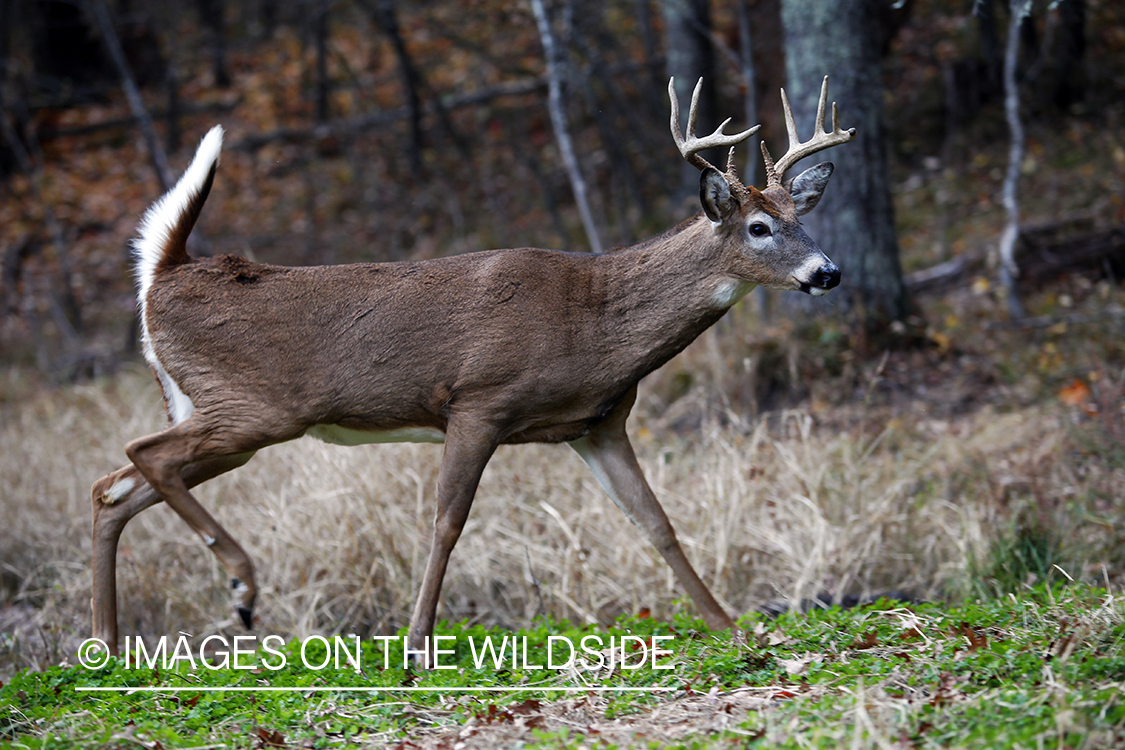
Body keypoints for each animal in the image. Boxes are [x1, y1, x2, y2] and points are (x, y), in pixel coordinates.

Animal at [94, 77, 850, 661]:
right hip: (253, 409)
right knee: (138, 455)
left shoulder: (596, 424)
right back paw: (242, 589)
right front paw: (415, 650)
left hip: (217, 416)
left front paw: (735, 632)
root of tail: (162, 274)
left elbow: (656, 523)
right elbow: (447, 524)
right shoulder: (477, 401)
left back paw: (109, 648)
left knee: (115, 489)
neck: (593, 320)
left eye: (801, 218)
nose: (828, 272)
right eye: (758, 227)